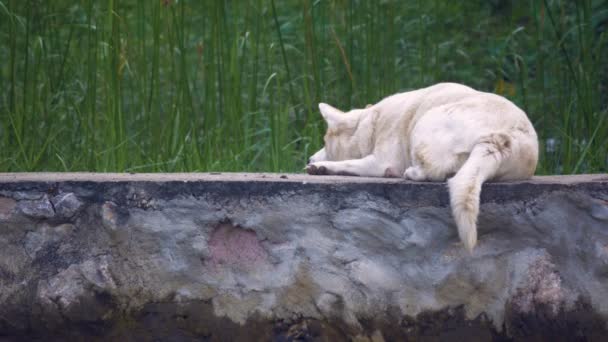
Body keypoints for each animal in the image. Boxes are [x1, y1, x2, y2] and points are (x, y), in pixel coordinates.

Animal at [306, 83, 540, 251]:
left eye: (325, 142)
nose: (309, 158)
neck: (370, 120)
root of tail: (501, 138)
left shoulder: (384, 159)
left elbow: (350, 163)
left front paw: (320, 166)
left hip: (428, 121)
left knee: (433, 170)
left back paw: (412, 172)